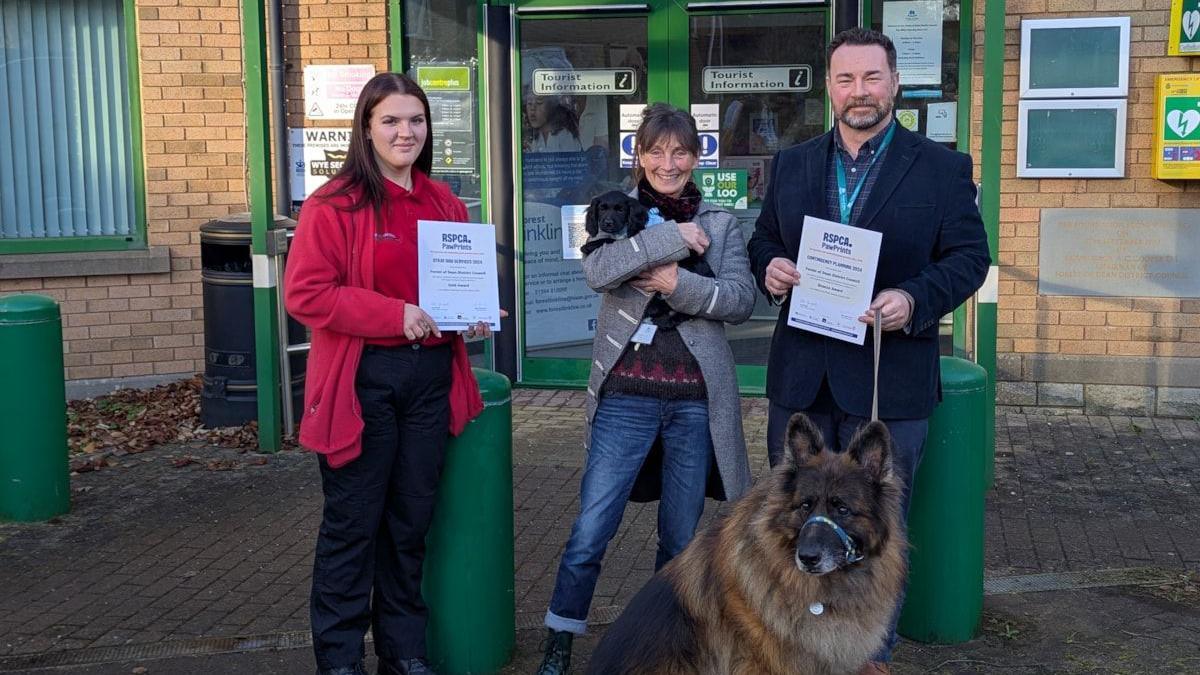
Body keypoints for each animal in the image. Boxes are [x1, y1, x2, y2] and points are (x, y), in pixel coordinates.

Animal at [580, 189, 710, 329]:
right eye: (602, 209)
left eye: (621, 210)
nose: (608, 223)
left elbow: (613, 240)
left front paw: (589, 245)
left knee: (686, 312)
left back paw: (663, 320)